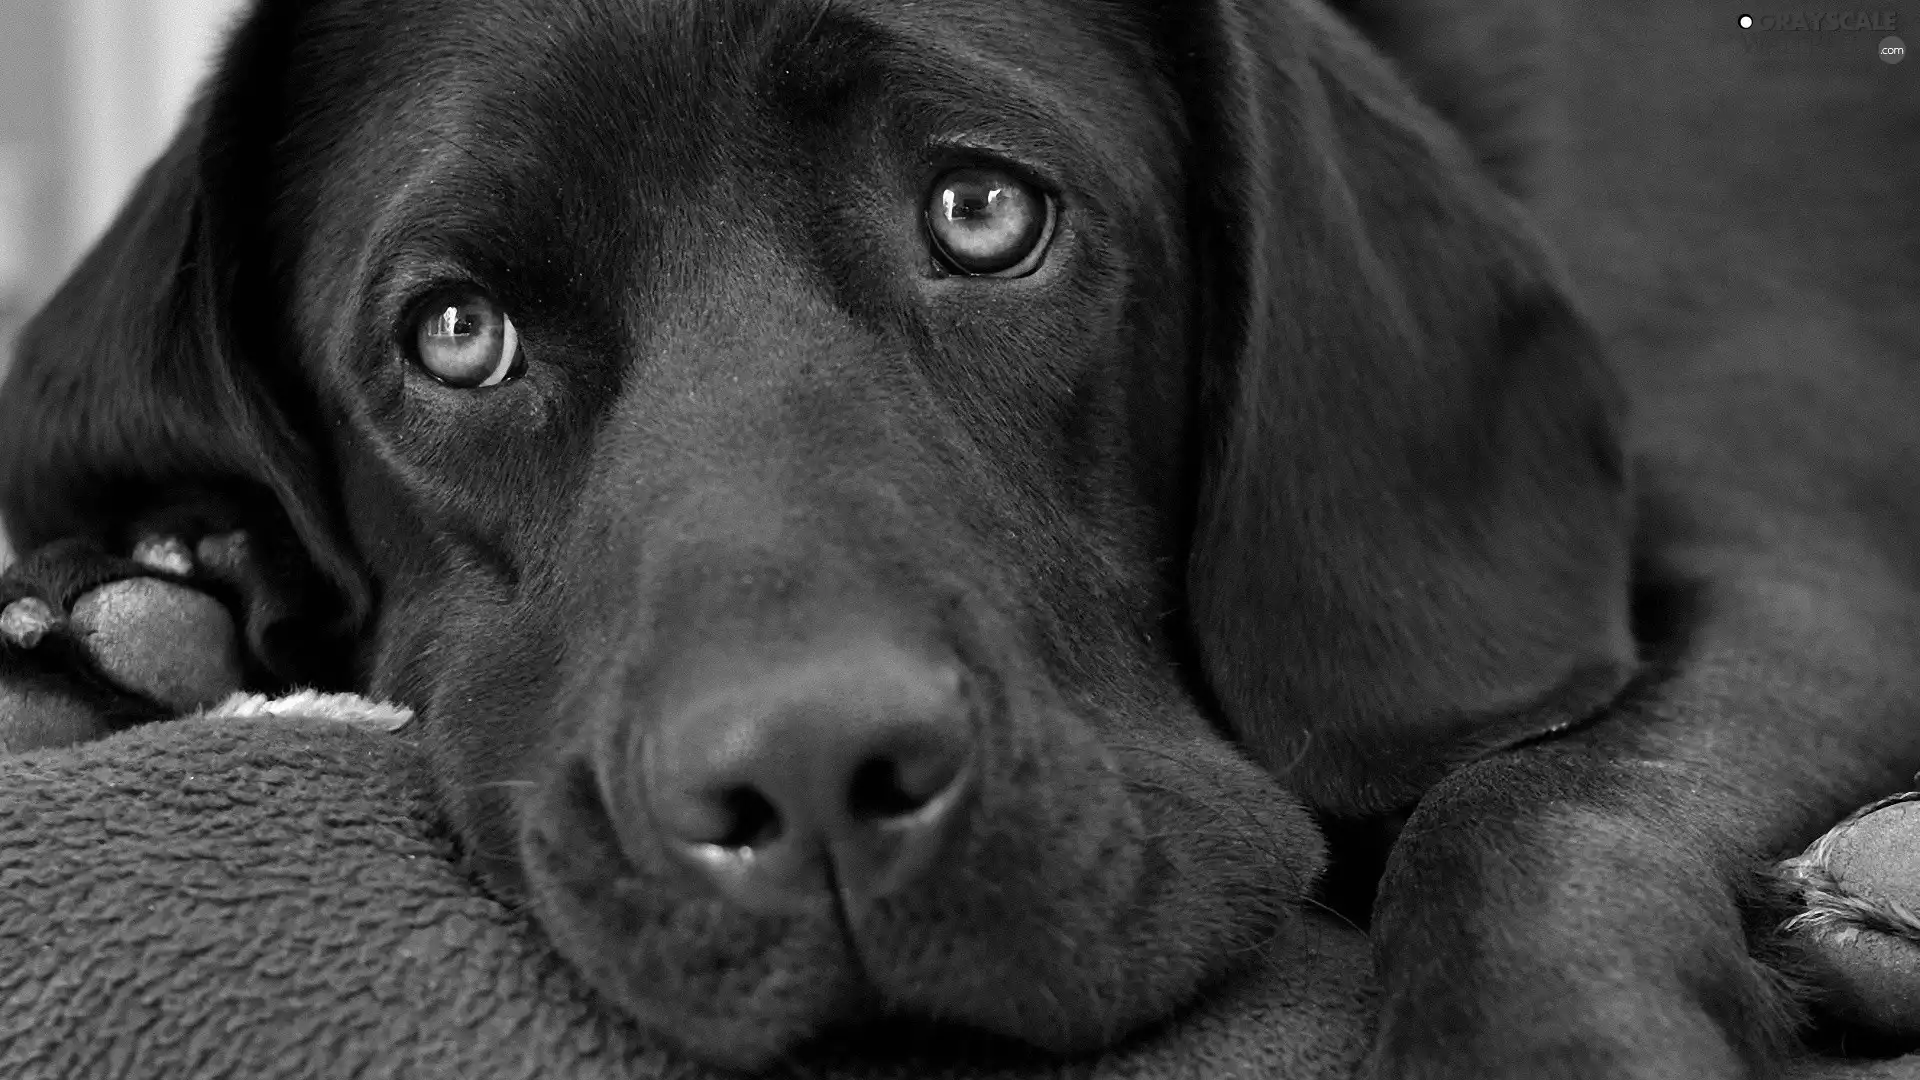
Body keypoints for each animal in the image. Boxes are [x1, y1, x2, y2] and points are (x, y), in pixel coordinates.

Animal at [3, 0, 1920, 1068]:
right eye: (457, 334)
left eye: (984, 210)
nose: (813, 781)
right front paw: (135, 605)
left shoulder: (1806, 566)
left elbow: (1525, 804)